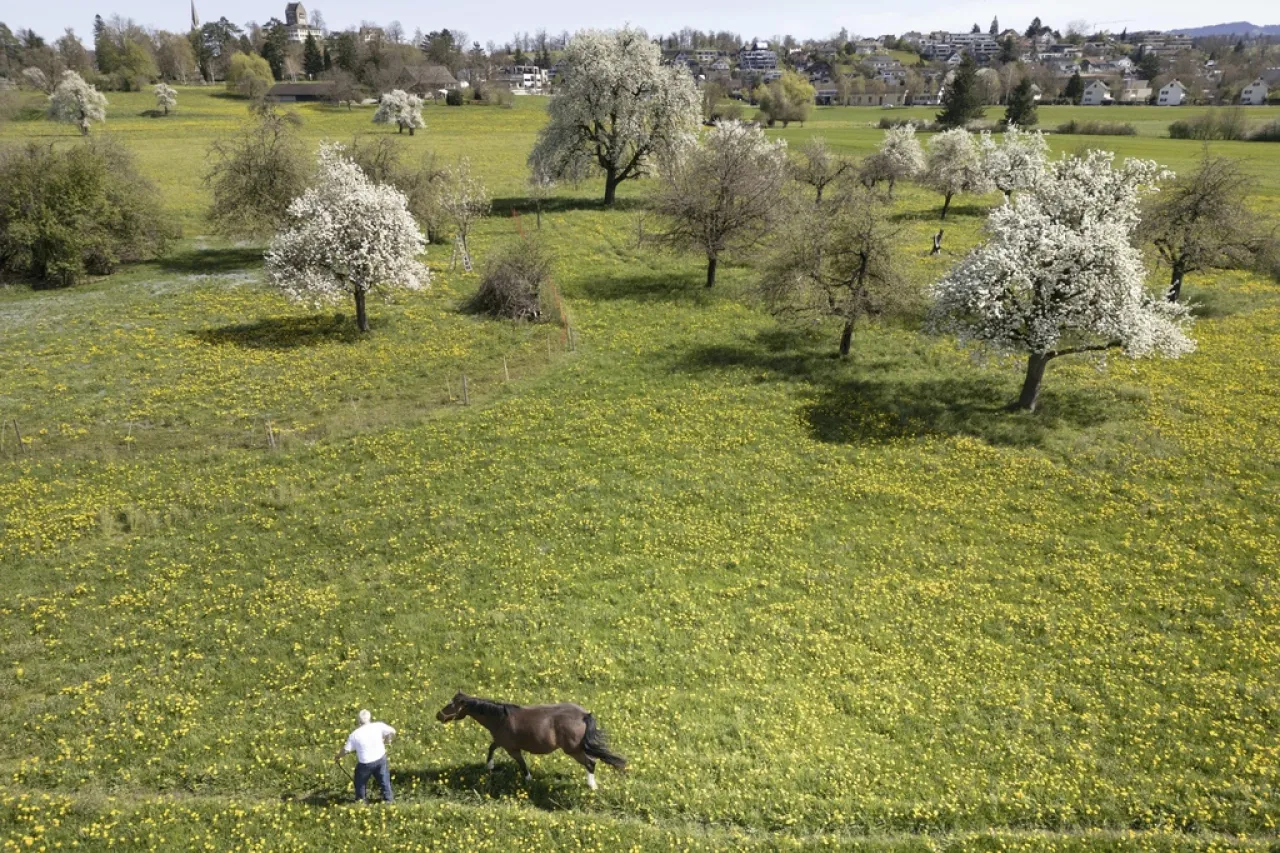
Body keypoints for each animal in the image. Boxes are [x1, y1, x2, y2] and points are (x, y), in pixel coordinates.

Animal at [435, 686, 624, 788]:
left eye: (452, 704)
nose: (438, 715)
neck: (501, 718)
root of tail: (584, 715)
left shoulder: (512, 749)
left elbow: (522, 763)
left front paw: (528, 779)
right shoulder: (501, 741)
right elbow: (491, 747)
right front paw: (489, 766)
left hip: (573, 750)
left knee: (591, 762)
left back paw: (591, 786)